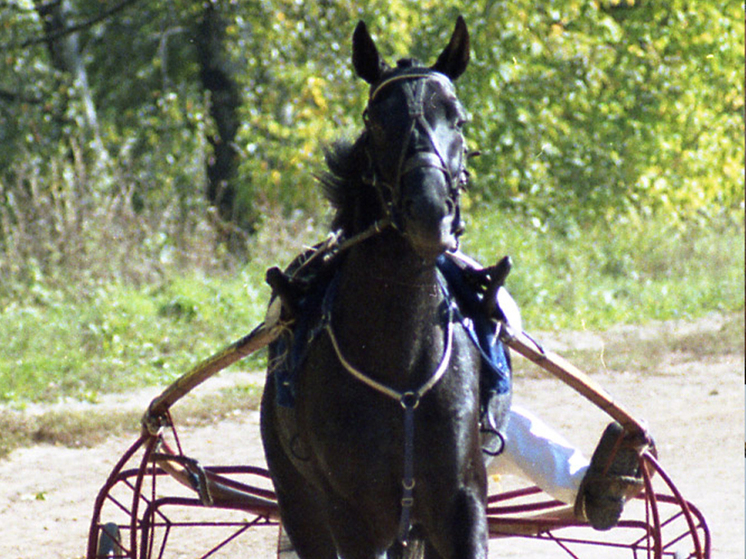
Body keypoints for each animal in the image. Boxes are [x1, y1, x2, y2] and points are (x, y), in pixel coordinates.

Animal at [258, 17, 508, 559]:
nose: (429, 211)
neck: (401, 365)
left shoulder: (460, 502)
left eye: (457, 119)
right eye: (376, 121)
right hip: (299, 498)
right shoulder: (351, 514)